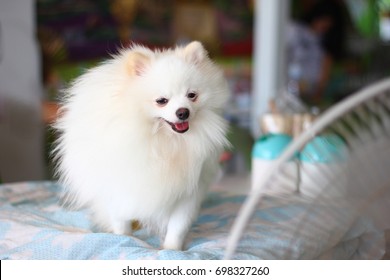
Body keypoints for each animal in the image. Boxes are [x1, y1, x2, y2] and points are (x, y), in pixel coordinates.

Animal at [55, 41, 232, 249]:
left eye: (192, 95)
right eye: (162, 101)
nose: (183, 112)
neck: (164, 141)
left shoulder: (188, 191)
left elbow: (178, 226)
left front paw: (172, 249)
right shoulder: (119, 186)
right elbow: (120, 220)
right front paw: (124, 239)